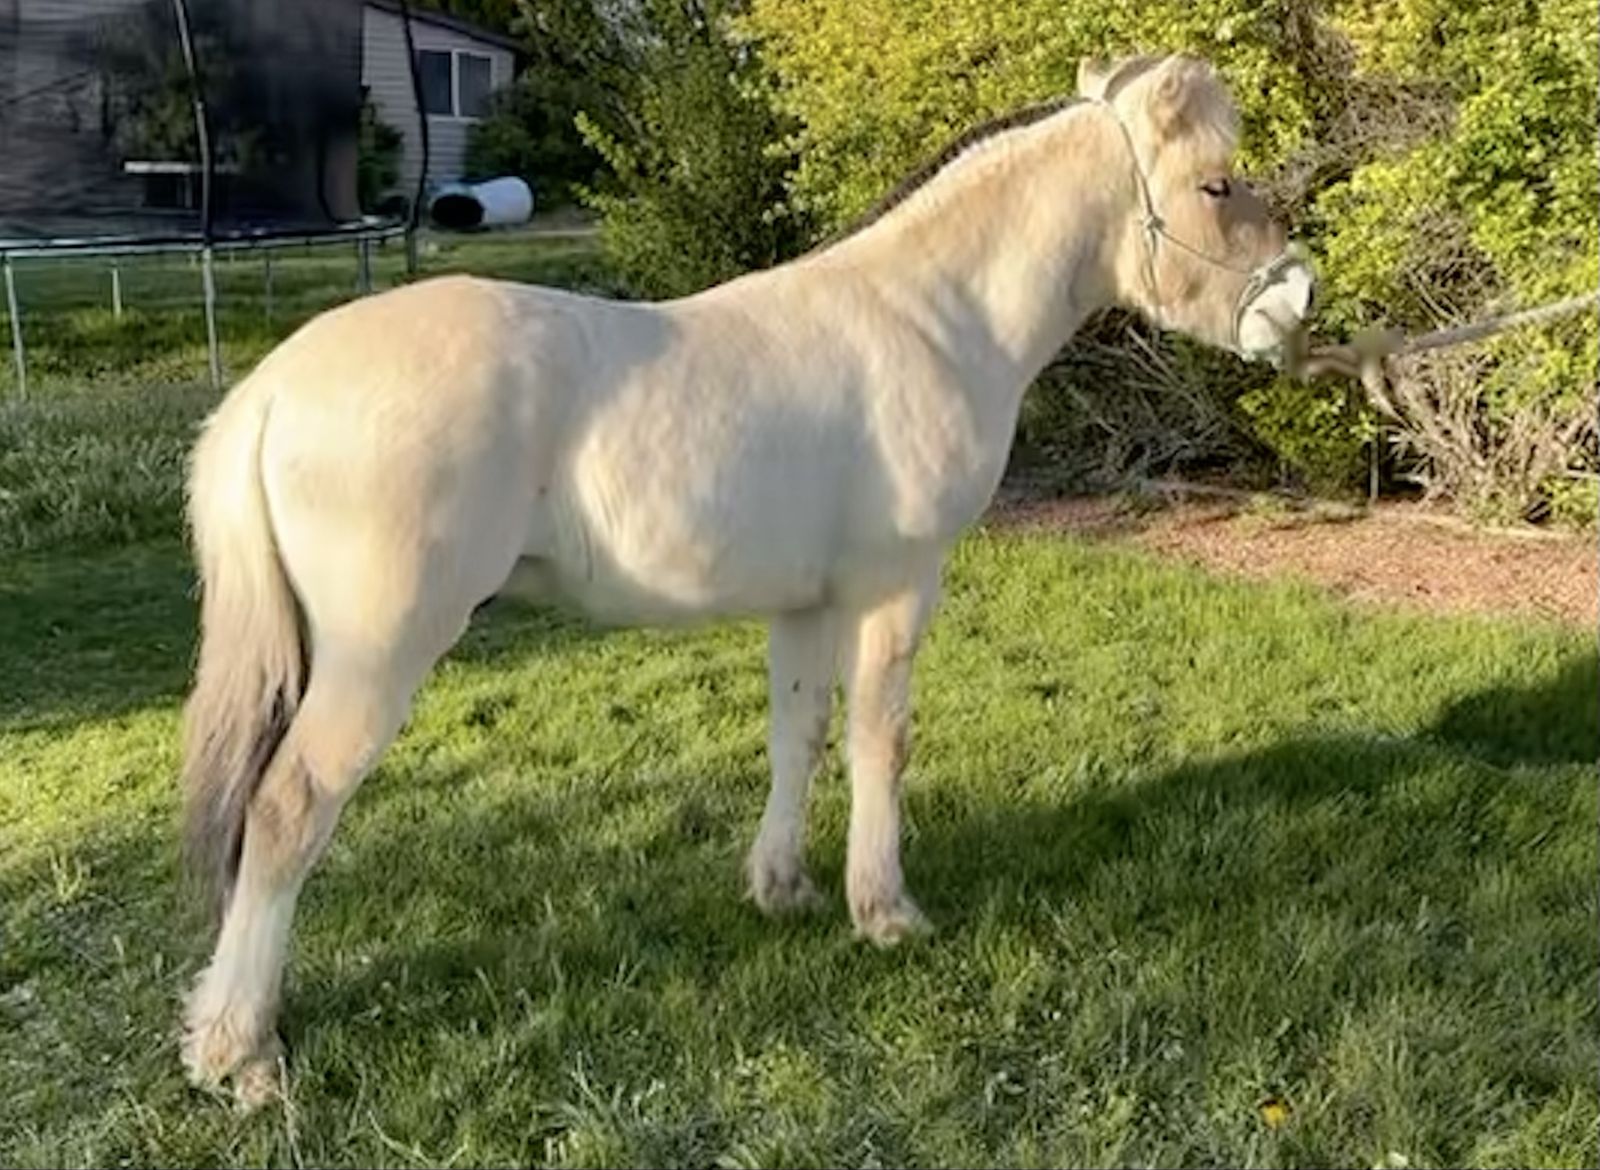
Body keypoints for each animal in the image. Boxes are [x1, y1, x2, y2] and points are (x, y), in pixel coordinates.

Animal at [178, 52, 1315, 1104]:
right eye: (1216, 185)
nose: (1298, 301)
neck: (934, 319)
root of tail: (273, 390)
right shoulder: (895, 588)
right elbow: (880, 741)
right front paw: (885, 912)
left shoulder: (805, 605)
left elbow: (796, 737)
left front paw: (784, 890)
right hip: (379, 654)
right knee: (287, 808)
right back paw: (241, 1053)